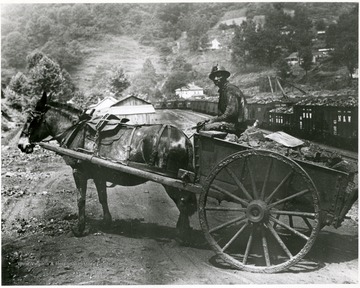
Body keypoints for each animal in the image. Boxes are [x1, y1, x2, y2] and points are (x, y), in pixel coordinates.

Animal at [17, 92, 197, 241]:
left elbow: (80, 200)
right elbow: (103, 197)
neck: (77, 131)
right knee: (185, 203)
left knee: (183, 203)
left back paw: (182, 234)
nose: (21, 144)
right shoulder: (99, 175)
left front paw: (80, 228)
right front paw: (106, 222)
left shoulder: (79, 172)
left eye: (31, 120)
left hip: (172, 181)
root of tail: (184, 139)